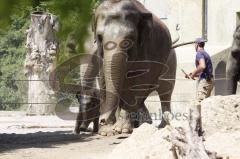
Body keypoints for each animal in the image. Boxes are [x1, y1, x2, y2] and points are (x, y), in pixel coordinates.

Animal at [77, 0, 176, 136]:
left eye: (130, 38)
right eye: (99, 37)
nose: (103, 120)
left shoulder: (146, 49)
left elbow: (138, 81)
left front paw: (121, 129)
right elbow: (104, 81)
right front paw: (107, 131)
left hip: (170, 63)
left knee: (165, 92)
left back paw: (161, 125)